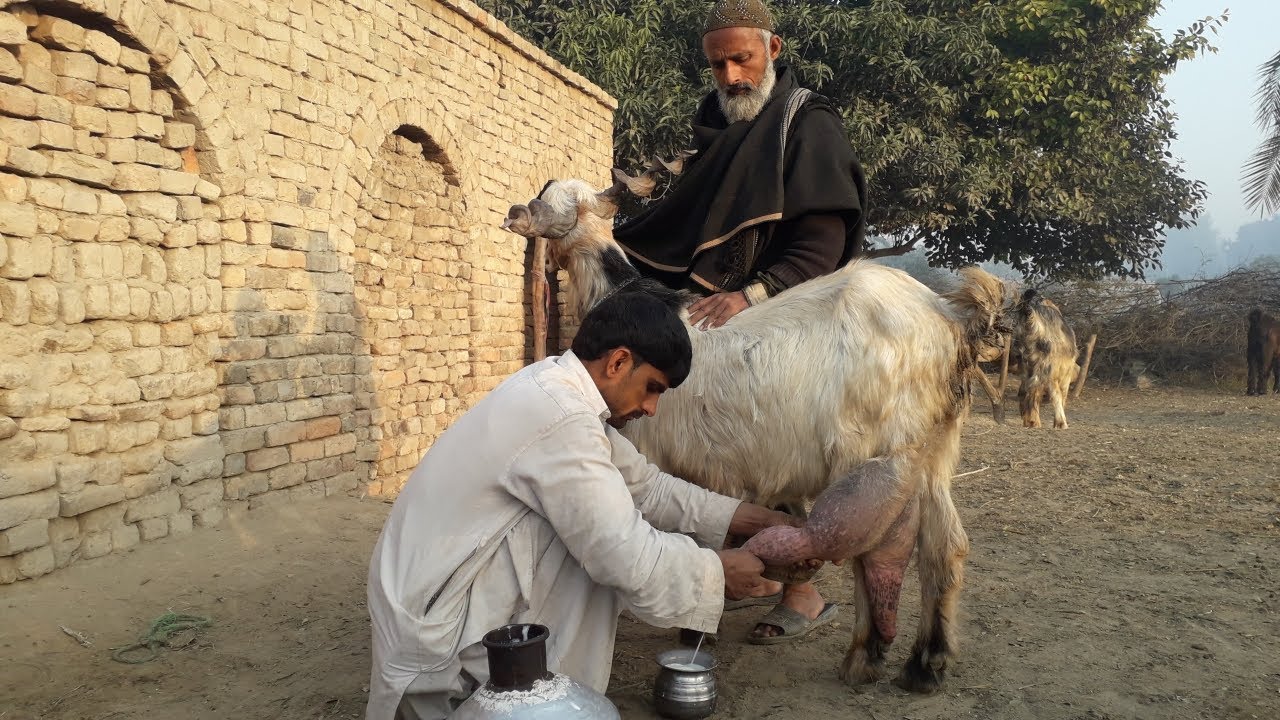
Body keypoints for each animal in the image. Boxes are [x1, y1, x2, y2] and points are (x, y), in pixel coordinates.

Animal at [502, 169, 1007, 694]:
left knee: (876, 547)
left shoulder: (677, 458)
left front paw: (697, 629)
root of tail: (949, 318)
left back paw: (866, 656)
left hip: (878, 449)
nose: (513, 214)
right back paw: (925, 663)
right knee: (945, 546)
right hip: (935, 451)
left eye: (546, 202)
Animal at [1012, 289, 1079, 429]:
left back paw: (1030, 420)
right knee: (1046, 392)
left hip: (1026, 365)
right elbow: (1060, 395)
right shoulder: (1062, 375)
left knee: (1025, 391)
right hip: (1047, 367)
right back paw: (1058, 422)